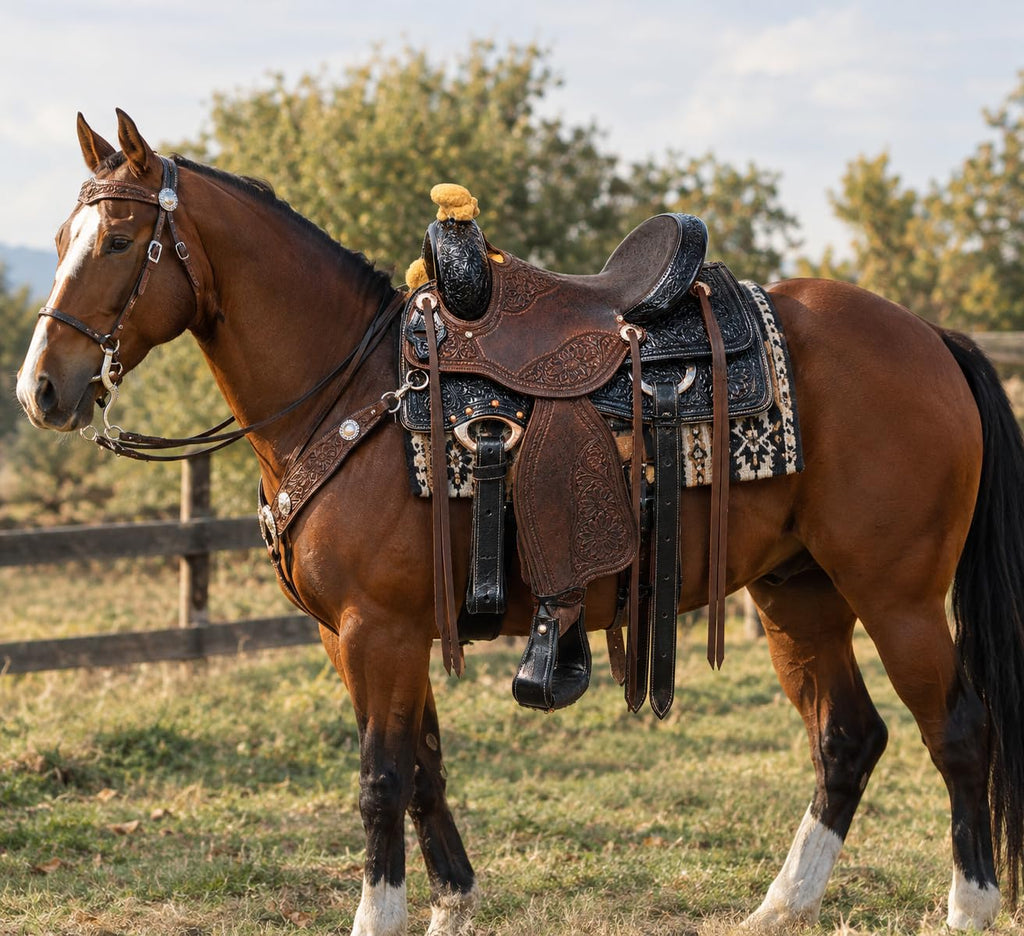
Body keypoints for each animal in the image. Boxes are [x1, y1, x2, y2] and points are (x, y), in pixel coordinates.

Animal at [15, 109, 1024, 934]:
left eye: (117, 239)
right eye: (62, 236)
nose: (40, 390)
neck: (354, 391)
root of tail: (932, 337)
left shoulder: (378, 630)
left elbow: (381, 779)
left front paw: (380, 917)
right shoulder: (362, 637)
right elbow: (423, 766)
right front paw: (454, 903)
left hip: (896, 596)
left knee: (959, 728)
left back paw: (969, 905)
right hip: (798, 593)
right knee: (849, 736)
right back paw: (782, 905)